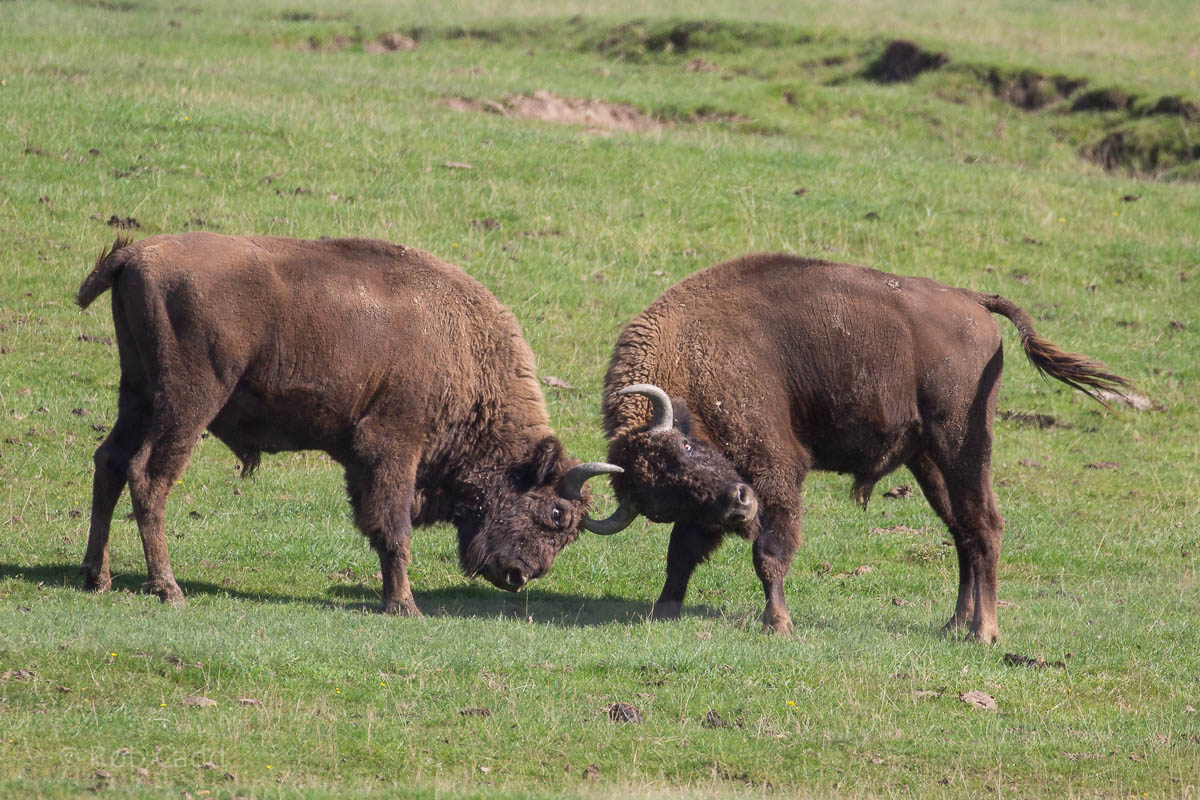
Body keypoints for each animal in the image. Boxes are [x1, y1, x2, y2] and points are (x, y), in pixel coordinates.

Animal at [76, 233, 621, 615]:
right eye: (556, 515)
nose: (519, 576)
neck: (461, 346)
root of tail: (135, 255)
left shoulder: (363, 461)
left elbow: (376, 526)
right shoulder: (394, 449)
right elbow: (394, 529)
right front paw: (405, 605)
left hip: (137, 395)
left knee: (109, 463)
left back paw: (96, 577)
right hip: (187, 403)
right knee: (148, 475)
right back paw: (168, 589)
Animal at [598, 253, 1131, 642]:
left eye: (685, 448)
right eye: (669, 499)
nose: (740, 506)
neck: (691, 358)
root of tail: (972, 302)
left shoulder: (775, 473)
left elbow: (769, 552)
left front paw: (778, 624)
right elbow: (682, 552)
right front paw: (662, 610)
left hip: (963, 443)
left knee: (985, 525)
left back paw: (983, 632)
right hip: (926, 460)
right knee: (962, 531)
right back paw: (954, 623)